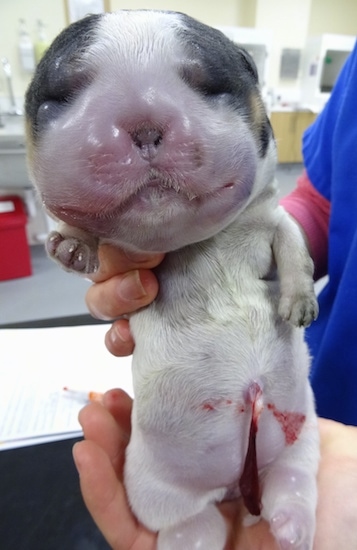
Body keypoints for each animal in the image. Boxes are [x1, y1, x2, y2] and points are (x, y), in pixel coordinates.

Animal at [26, 9, 318, 550]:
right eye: (67, 92)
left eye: (205, 83)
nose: (144, 121)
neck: (204, 242)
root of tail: (231, 486)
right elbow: (82, 231)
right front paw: (73, 245)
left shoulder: (273, 220)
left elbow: (295, 246)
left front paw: (299, 304)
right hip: (152, 484)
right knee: (186, 518)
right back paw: (197, 537)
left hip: (300, 437)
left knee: (292, 479)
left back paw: (291, 526)